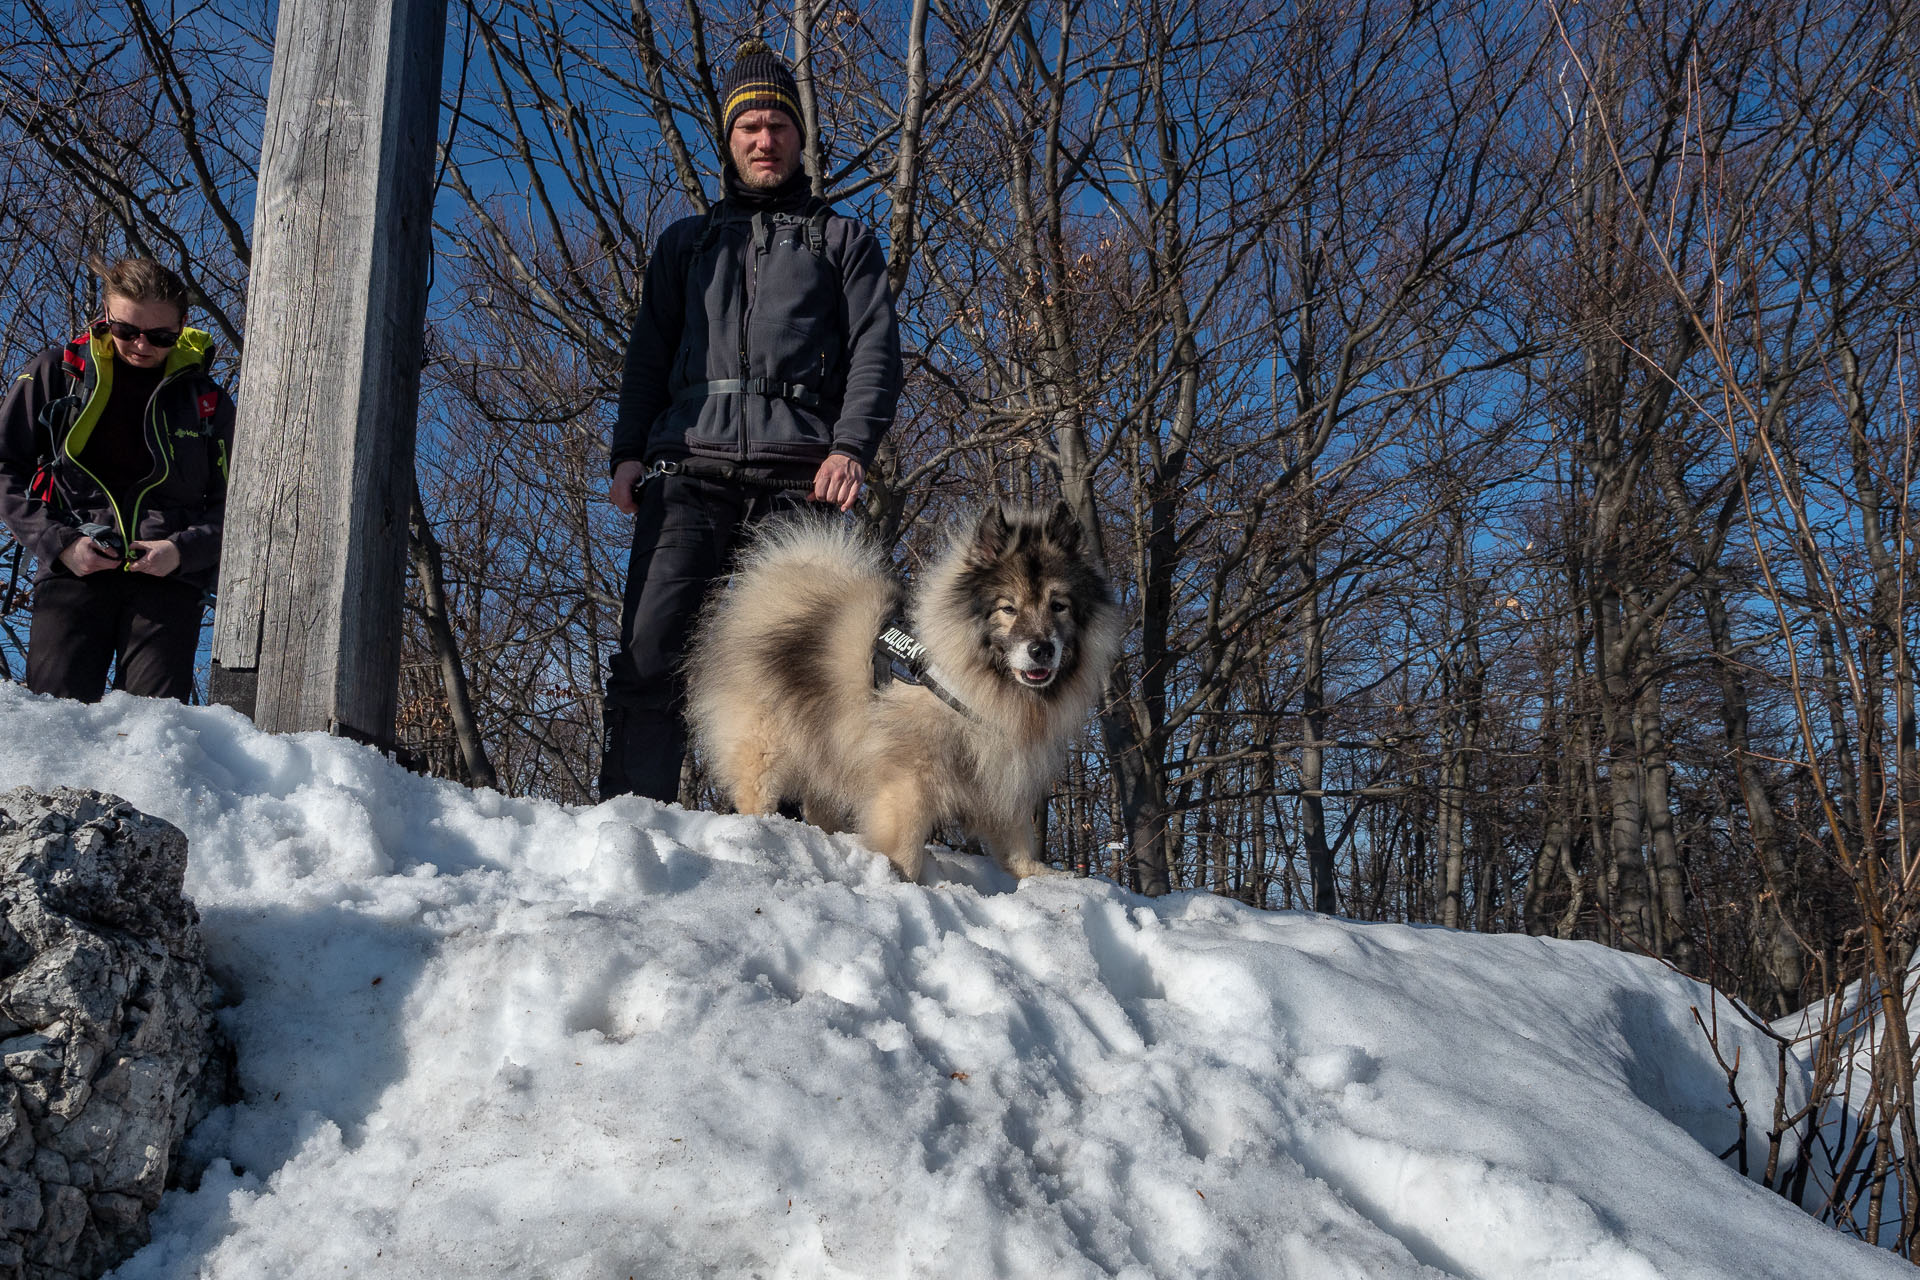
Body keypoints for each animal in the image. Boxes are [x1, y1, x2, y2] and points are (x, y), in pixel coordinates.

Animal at [687, 498, 1121, 882]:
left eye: (1059, 605)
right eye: (1008, 608)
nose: (1041, 648)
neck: (969, 677)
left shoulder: (1000, 767)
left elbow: (1014, 832)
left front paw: (1035, 874)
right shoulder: (911, 774)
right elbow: (907, 839)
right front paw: (902, 878)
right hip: (767, 742)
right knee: (756, 789)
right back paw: (761, 830)